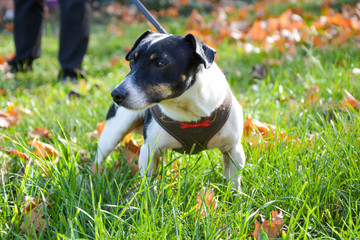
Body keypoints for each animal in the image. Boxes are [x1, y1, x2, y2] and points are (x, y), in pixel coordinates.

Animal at [95, 30, 246, 191]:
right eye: (132, 61)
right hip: (112, 134)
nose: (116, 94)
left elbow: (233, 181)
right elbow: (148, 184)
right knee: (100, 156)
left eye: (161, 63)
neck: (186, 109)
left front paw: (234, 196)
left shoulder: (234, 149)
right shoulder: (150, 150)